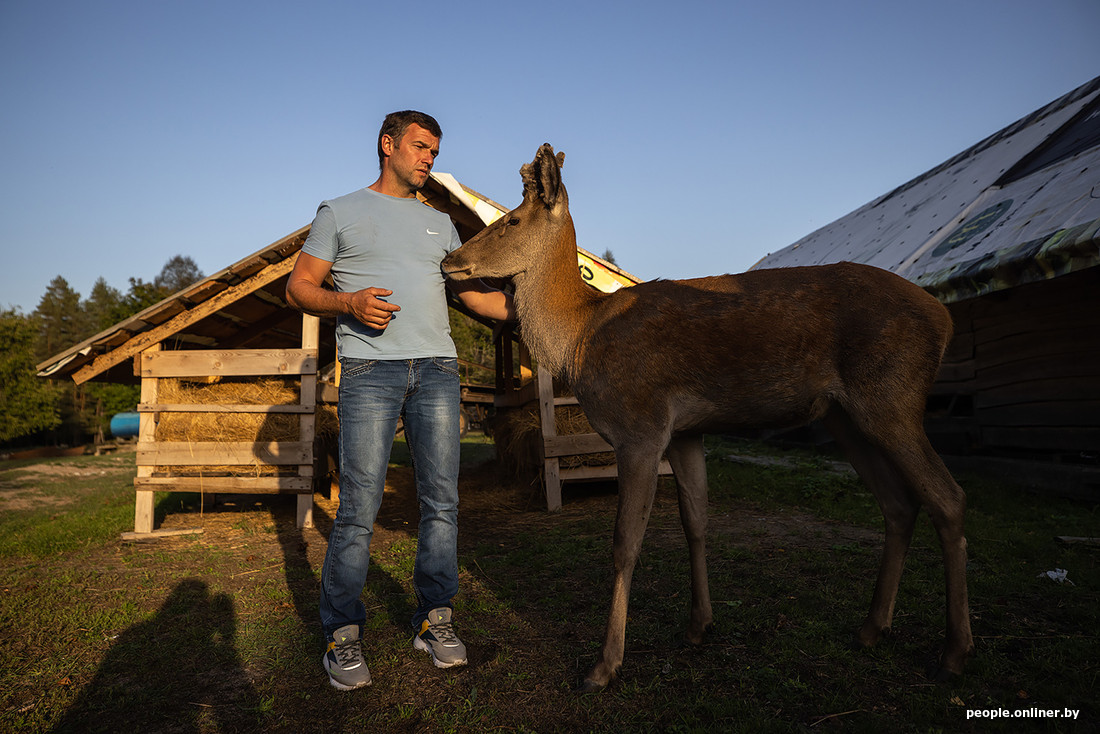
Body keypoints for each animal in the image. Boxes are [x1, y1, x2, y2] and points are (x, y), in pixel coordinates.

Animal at [437, 143, 972, 695]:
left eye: (512, 220)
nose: (448, 260)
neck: (581, 336)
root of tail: (944, 319)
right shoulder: (685, 433)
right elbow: (695, 521)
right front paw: (698, 625)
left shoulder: (640, 426)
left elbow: (625, 541)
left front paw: (604, 665)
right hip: (846, 417)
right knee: (899, 504)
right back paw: (871, 628)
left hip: (891, 397)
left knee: (948, 498)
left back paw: (953, 652)